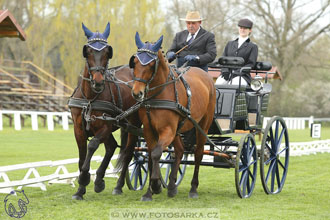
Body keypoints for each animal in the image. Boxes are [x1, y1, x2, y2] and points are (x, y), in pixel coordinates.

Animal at [69, 23, 140, 200]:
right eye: (88, 51)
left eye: (108, 52)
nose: (98, 82)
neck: (90, 97)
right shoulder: (78, 128)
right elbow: (81, 155)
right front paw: (80, 189)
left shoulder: (105, 126)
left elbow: (92, 145)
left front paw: (84, 178)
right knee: (112, 146)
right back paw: (100, 179)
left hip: (134, 126)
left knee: (128, 154)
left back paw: (118, 186)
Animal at [129, 31, 217, 200]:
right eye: (135, 62)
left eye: (151, 64)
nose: (137, 93)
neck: (159, 94)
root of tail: (206, 76)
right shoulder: (149, 130)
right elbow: (150, 156)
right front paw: (150, 191)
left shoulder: (167, 130)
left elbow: (156, 153)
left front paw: (156, 185)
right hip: (178, 129)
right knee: (180, 150)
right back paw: (171, 186)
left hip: (203, 125)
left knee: (198, 153)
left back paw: (193, 189)